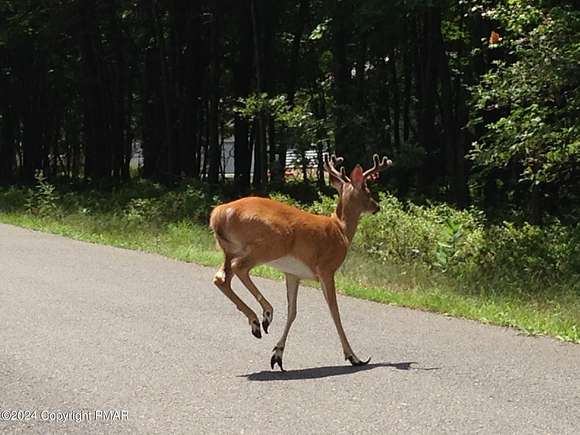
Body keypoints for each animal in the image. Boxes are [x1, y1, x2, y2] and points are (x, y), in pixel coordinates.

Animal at [206, 154, 392, 372]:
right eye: (367, 190)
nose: (377, 206)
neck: (341, 230)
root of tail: (219, 213)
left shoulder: (293, 274)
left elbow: (292, 311)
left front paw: (277, 355)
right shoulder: (326, 268)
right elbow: (334, 312)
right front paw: (354, 357)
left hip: (230, 250)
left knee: (221, 278)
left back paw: (255, 322)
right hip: (269, 244)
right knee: (239, 268)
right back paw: (266, 313)